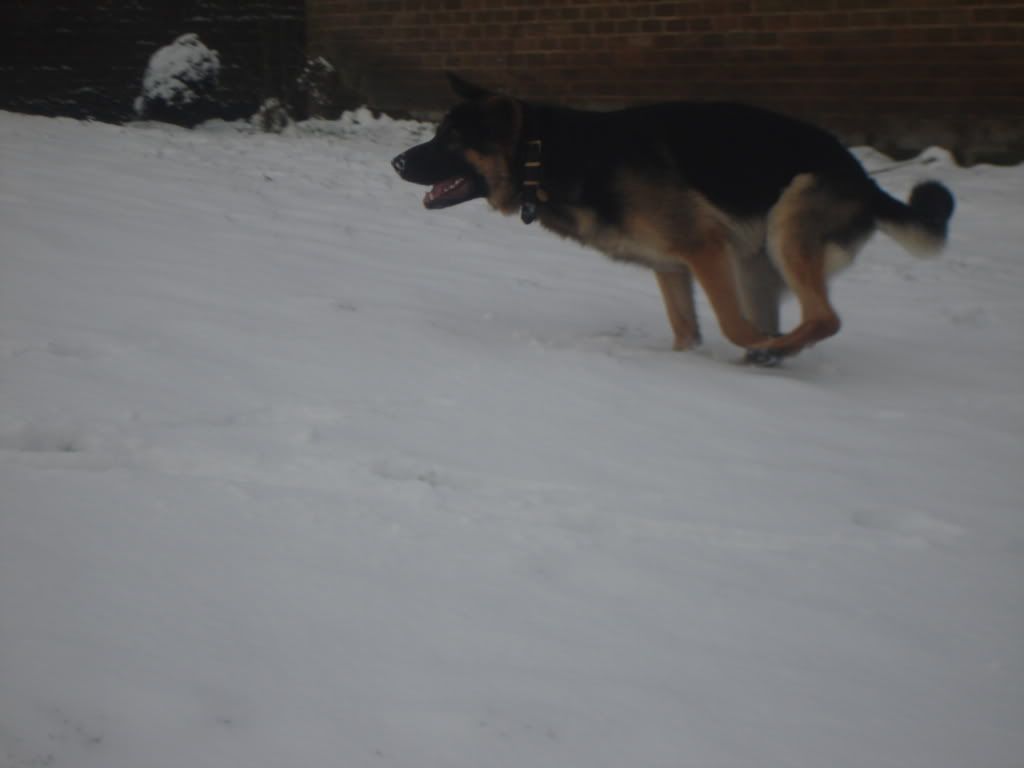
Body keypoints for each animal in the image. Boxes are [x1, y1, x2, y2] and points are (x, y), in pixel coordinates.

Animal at [391, 75, 950, 364]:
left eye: (450, 140)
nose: (396, 163)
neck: (546, 155)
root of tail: (867, 181)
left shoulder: (705, 249)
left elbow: (733, 325)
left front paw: (754, 344)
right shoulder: (672, 266)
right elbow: (686, 329)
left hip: (787, 224)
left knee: (824, 318)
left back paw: (775, 349)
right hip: (756, 263)